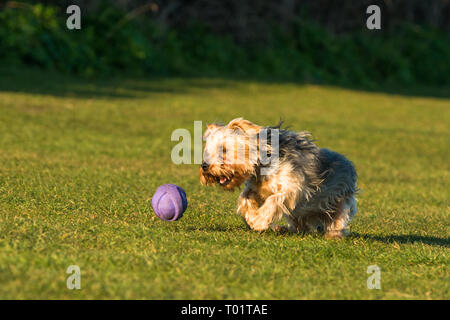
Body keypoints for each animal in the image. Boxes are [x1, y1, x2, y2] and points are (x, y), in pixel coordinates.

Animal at [200, 119, 358, 239]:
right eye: (207, 151)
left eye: (224, 149)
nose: (204, 166)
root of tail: (350, 164)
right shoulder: (255, 187)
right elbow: (245, 198)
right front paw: (251, 218)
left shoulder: (293, 188)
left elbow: (273, 201)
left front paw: (258, 222)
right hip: (299, 214)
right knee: (301, 226)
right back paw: (283, 229)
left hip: (341, 201)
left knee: (337, 221)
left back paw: (333, 235)